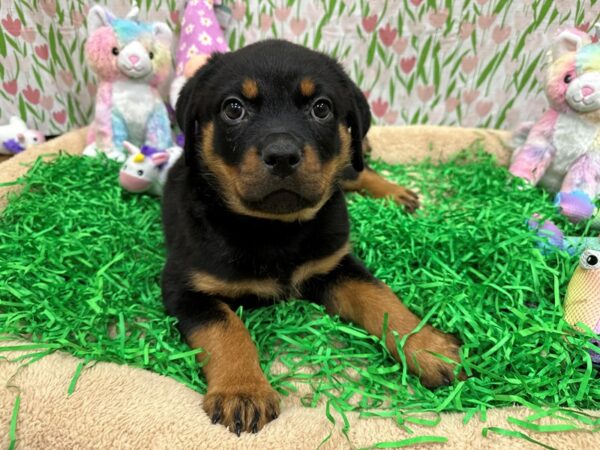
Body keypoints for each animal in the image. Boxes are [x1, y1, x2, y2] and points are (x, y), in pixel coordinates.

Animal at [162, 39, 462, 436]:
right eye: (233, 108)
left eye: (321, 108)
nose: (282, 155)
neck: (275, 228)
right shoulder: (185, 287)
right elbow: (226, 328)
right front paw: (242, 391)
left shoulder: (334, 262)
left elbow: (381, 298)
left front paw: (428, 347)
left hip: (347, 159)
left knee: (356, 168)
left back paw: (395, 193)